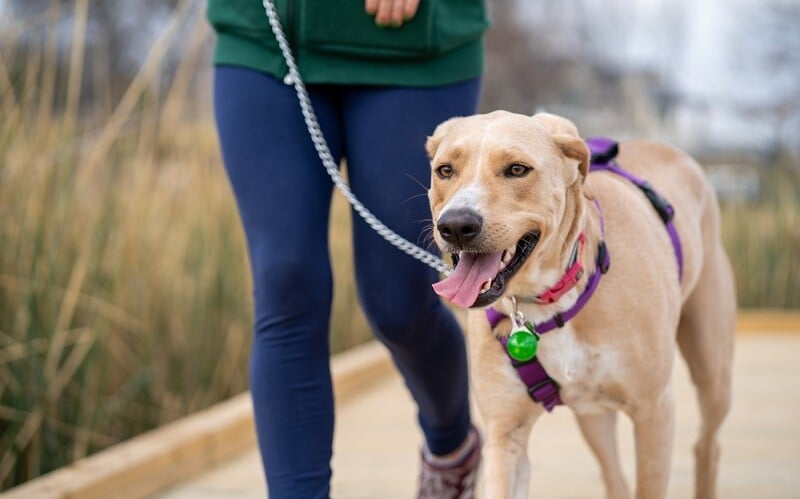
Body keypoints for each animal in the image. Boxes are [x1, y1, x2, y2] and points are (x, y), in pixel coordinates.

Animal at [428, 111, 736, 498]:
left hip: (713, 372)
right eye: (445, 170)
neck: (546, 301)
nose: (455, 225)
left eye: (517, 169)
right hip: (592, 415)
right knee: (614, 476)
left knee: (707, 444)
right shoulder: (506, 433)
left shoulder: (655, 412)